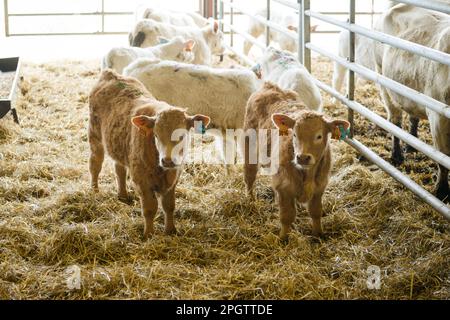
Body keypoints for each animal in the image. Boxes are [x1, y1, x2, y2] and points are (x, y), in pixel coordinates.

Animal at [89, 70, 210, 238]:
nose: (167, 160)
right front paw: (148, 234)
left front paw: (170, 230)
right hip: (95, 138)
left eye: (182, 135)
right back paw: (95, 190)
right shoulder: (142, 181)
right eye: (156, 135)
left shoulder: (173, 179)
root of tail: (111, 74)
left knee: (119, 169)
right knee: (95, 165)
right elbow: (149, 209)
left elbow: (169, 206)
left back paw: (123, 195)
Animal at [244, 84, 350, 239]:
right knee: (249, 176)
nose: (302, 157)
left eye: (319, 136)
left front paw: (318, 234)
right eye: (294, 134)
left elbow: (315, 212)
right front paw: (283, 238)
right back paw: (251, 199)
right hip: (249, 147)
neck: (307, 175)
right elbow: (287, 216)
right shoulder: (284, 187)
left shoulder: (320, 187)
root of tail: (270, 86)